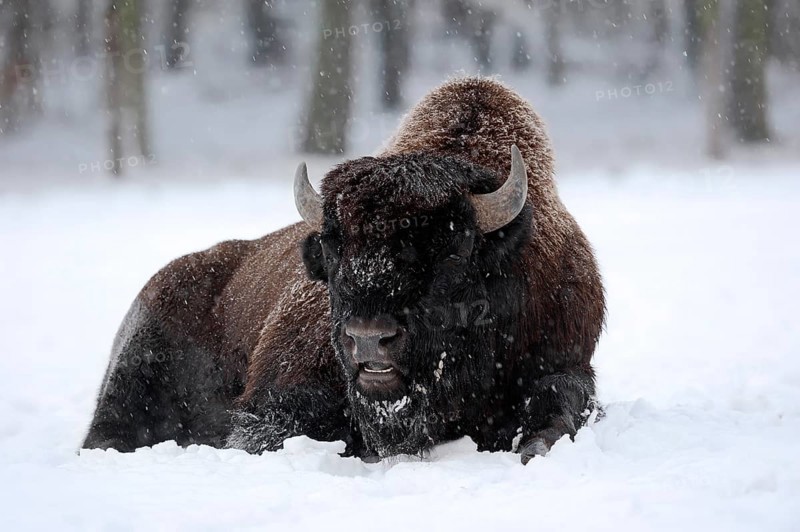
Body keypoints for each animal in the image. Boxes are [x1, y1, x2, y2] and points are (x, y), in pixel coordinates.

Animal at [83, 77, 605, 463]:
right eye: (335, 250)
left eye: (453, 252)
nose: (369, 339)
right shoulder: (277, 398)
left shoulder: (567, 360)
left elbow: (562, 405)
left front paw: (532, 447)